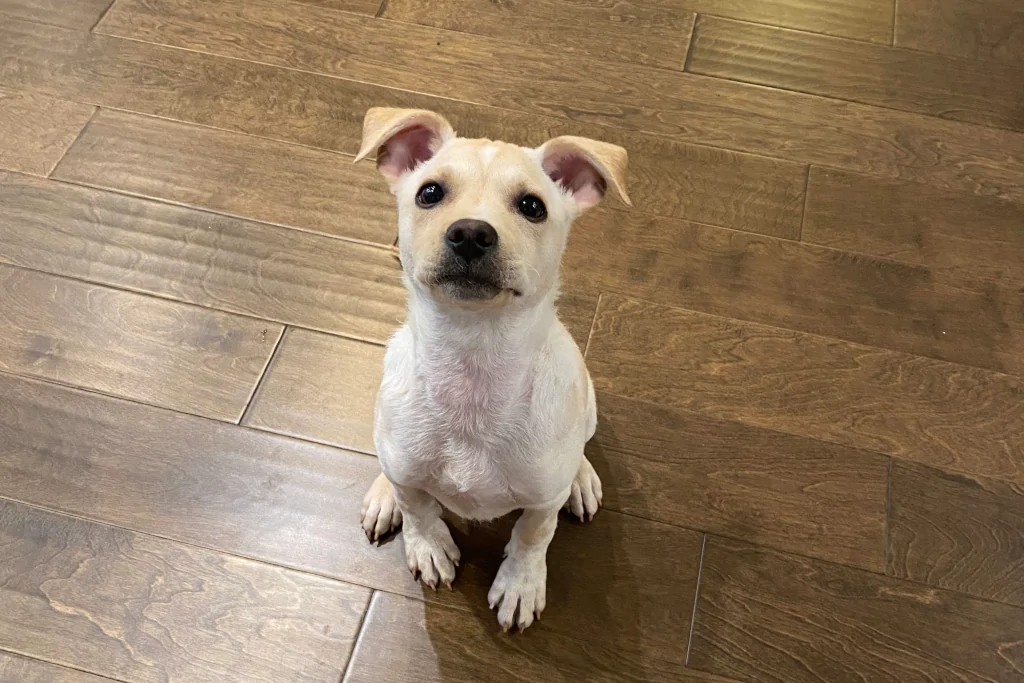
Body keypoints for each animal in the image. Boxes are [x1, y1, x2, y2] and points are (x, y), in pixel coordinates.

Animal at [356, 109, 630, 634]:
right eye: (429, 193)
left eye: (532, 206)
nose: (470, 233)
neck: (473, 360)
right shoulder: (409, 475)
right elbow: (418, 507)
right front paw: (428, 545)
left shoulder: (541, 503)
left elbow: (532, 534)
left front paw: (521, 584)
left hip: (587, 402)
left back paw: (581, 479)